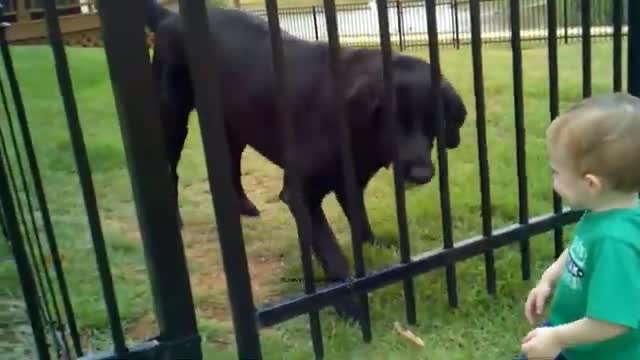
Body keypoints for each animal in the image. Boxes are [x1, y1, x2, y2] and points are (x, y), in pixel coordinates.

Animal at [144, 1, 464, 320]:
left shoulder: (350, 184)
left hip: (234, 125)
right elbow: (331, 251)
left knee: (232, 164)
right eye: (393, 120)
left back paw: (244, 206)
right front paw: (350, 304)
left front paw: (375, 246)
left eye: (434, 120)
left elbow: (360, 218)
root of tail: (171, 16)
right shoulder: (300, 195)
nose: (422, 174)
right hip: (172, 117)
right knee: (171, 172)